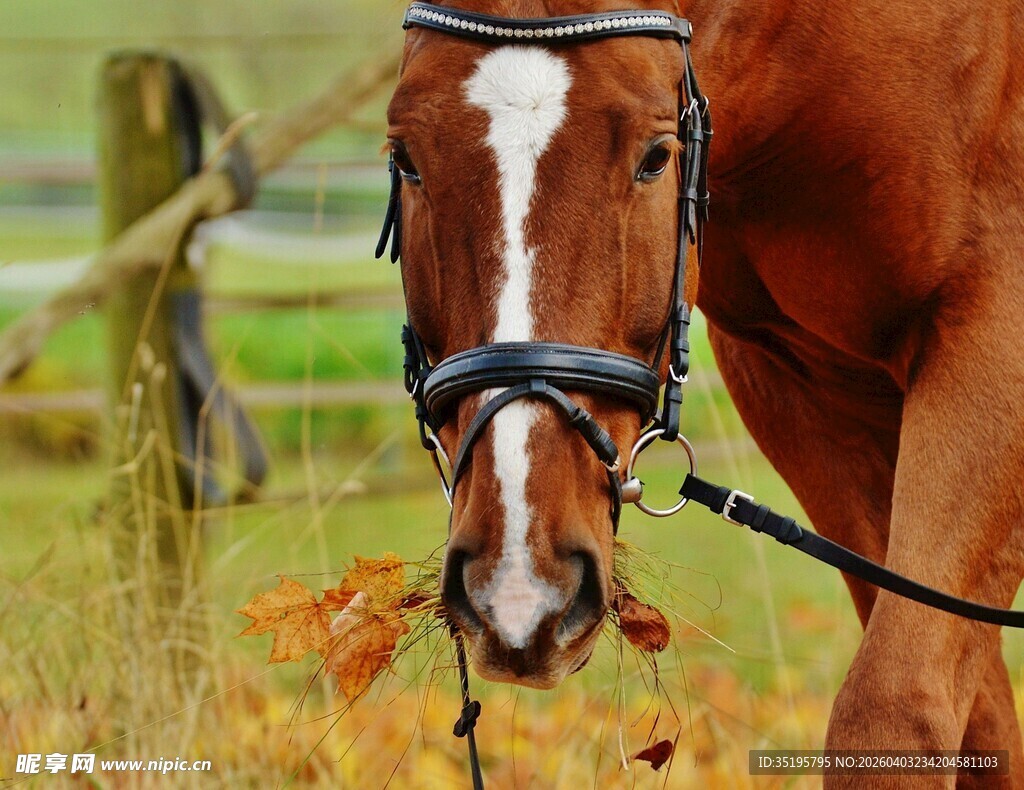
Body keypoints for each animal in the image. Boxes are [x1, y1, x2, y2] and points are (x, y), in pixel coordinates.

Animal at [382, 0, 1024, 784]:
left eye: (657, 157)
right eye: (407, 157)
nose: (519, 590)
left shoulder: (995, 331)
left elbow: (897, 709)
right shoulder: (795, 383)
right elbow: (979, 720)